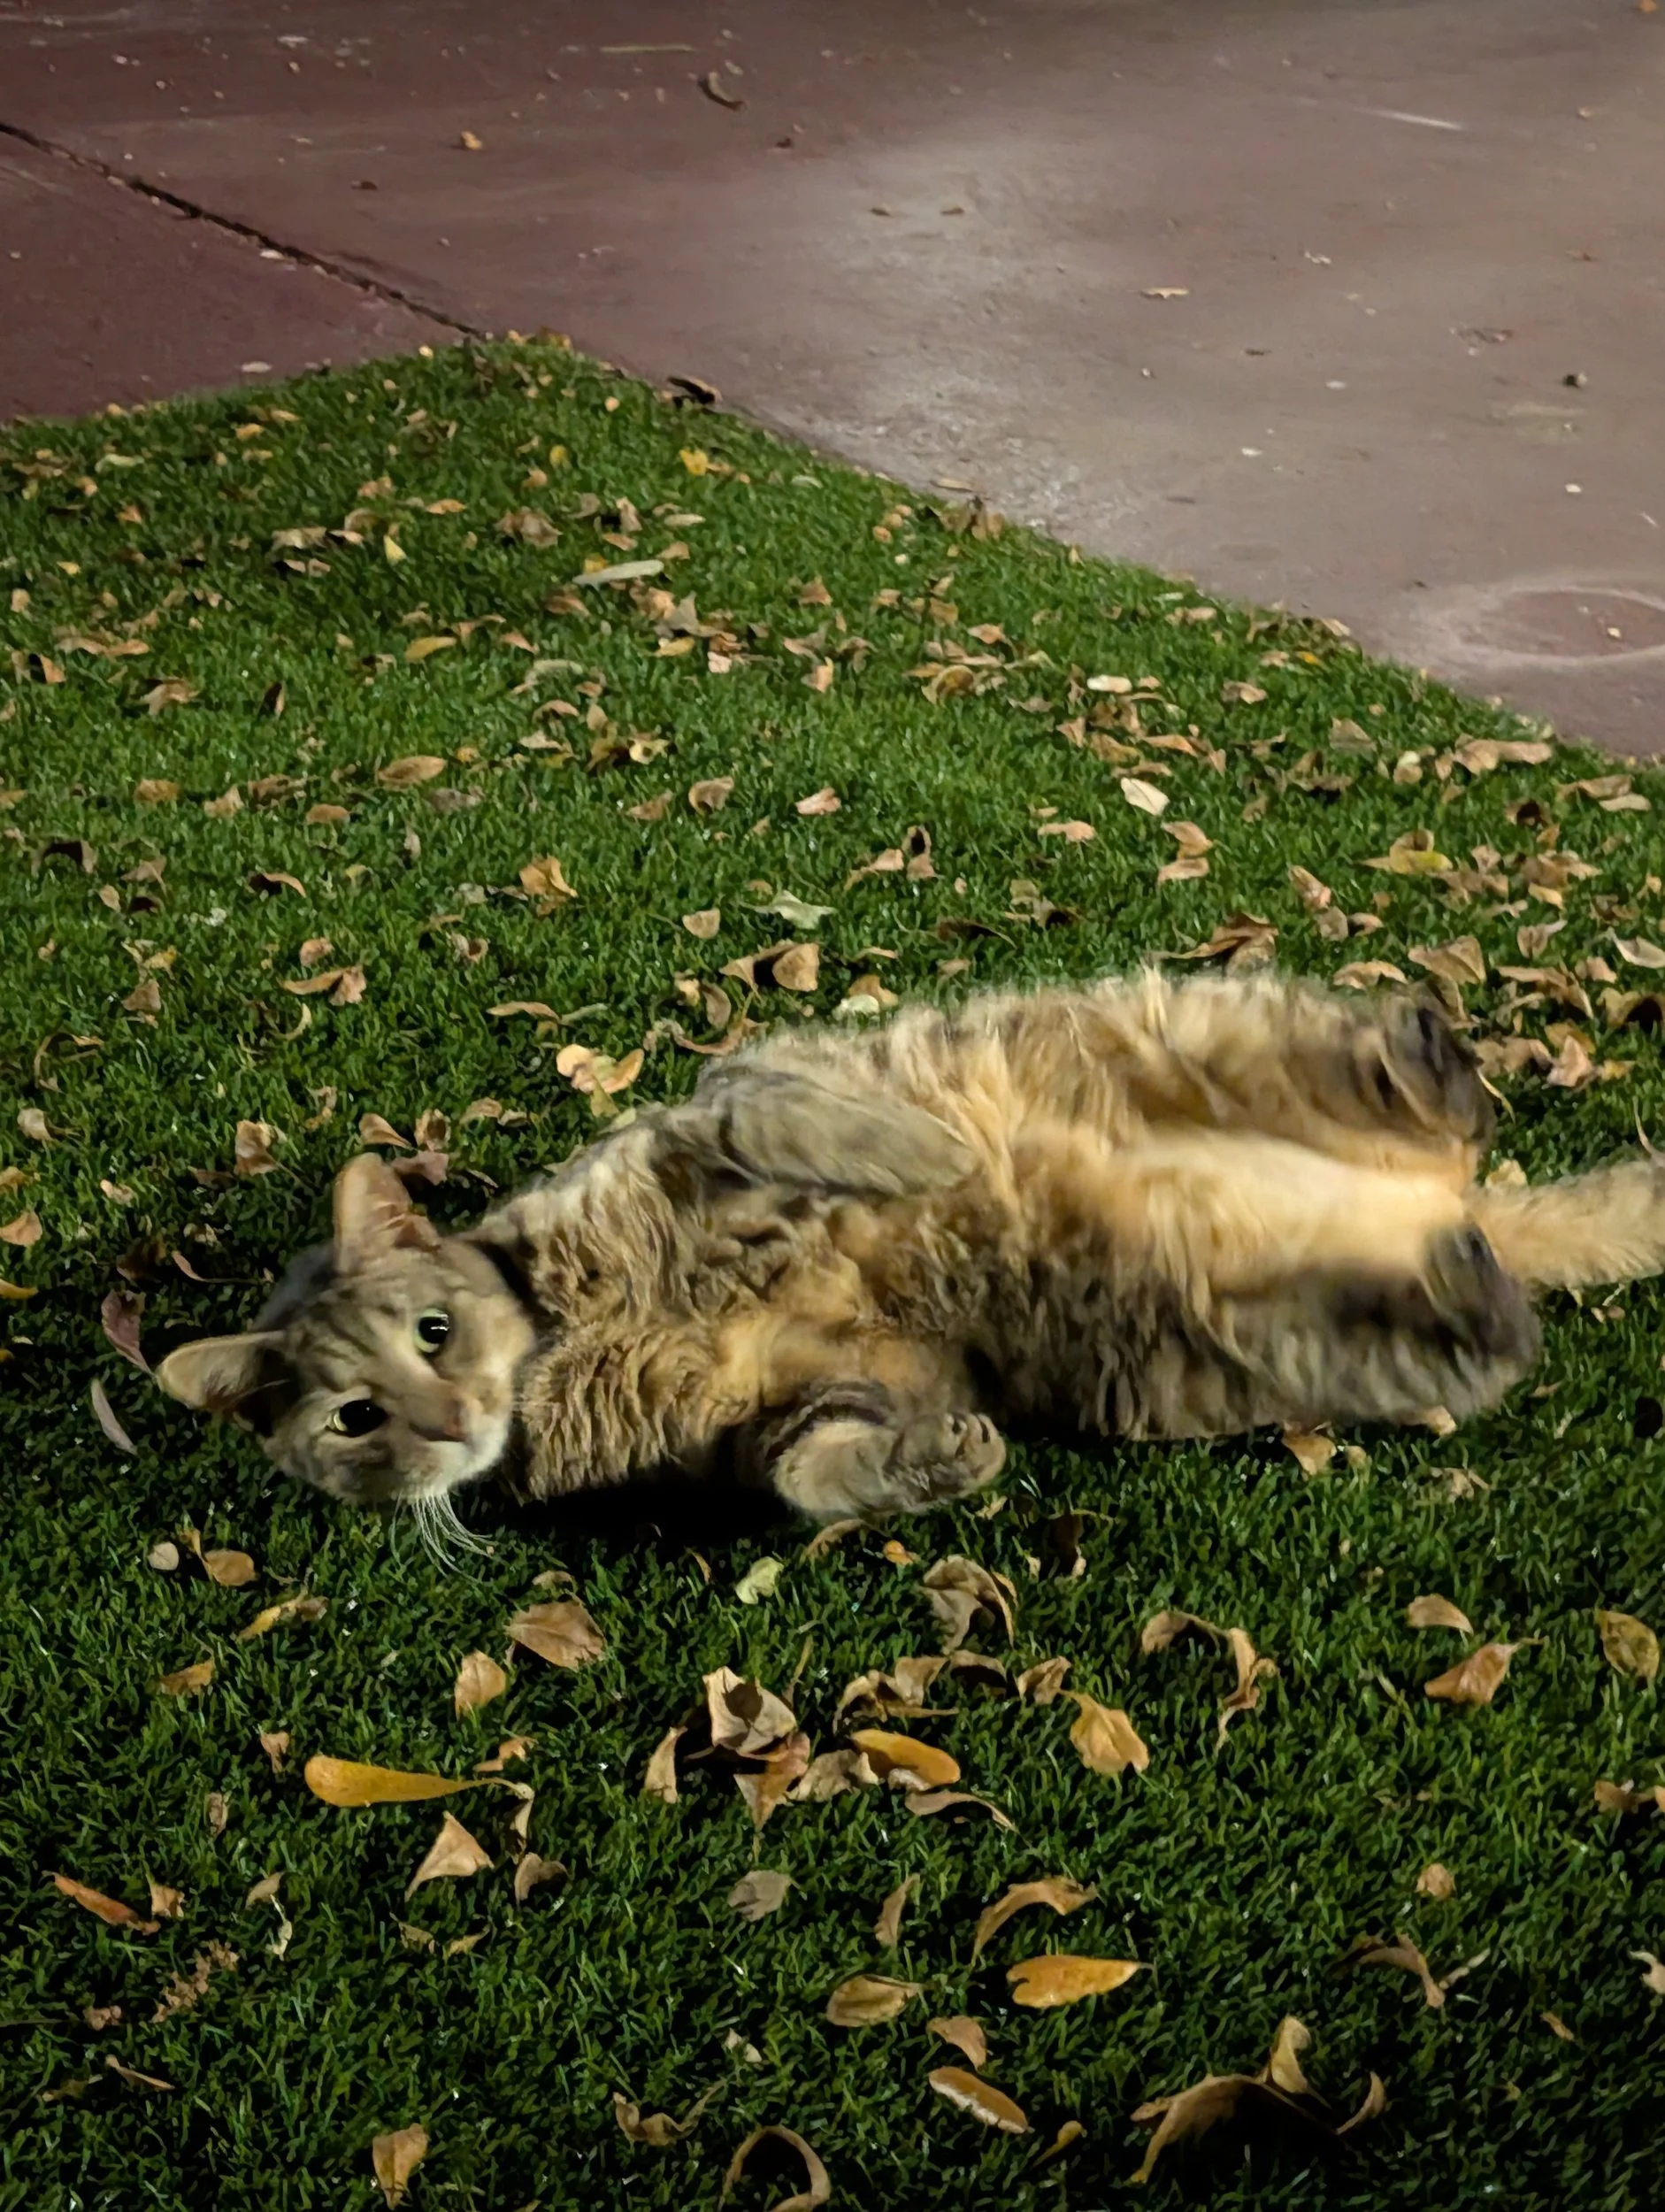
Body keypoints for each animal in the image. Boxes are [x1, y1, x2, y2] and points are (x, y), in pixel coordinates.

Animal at [157, 968, 1665, 1531]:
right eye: (352, 1419)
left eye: (430, 1330)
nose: (440, 1419)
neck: (558, 1348)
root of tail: (1446, 1206)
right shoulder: (794, 1412)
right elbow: (813, 1474)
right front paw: (934, 1465)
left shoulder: (706, 1109)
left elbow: (766, 1103)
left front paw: (911, 1158)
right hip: (1252, 1342)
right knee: (1489, 1337)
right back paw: (1470, 1288)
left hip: (1193, 1026)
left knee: (1418, 1080)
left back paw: (1425, 1064)